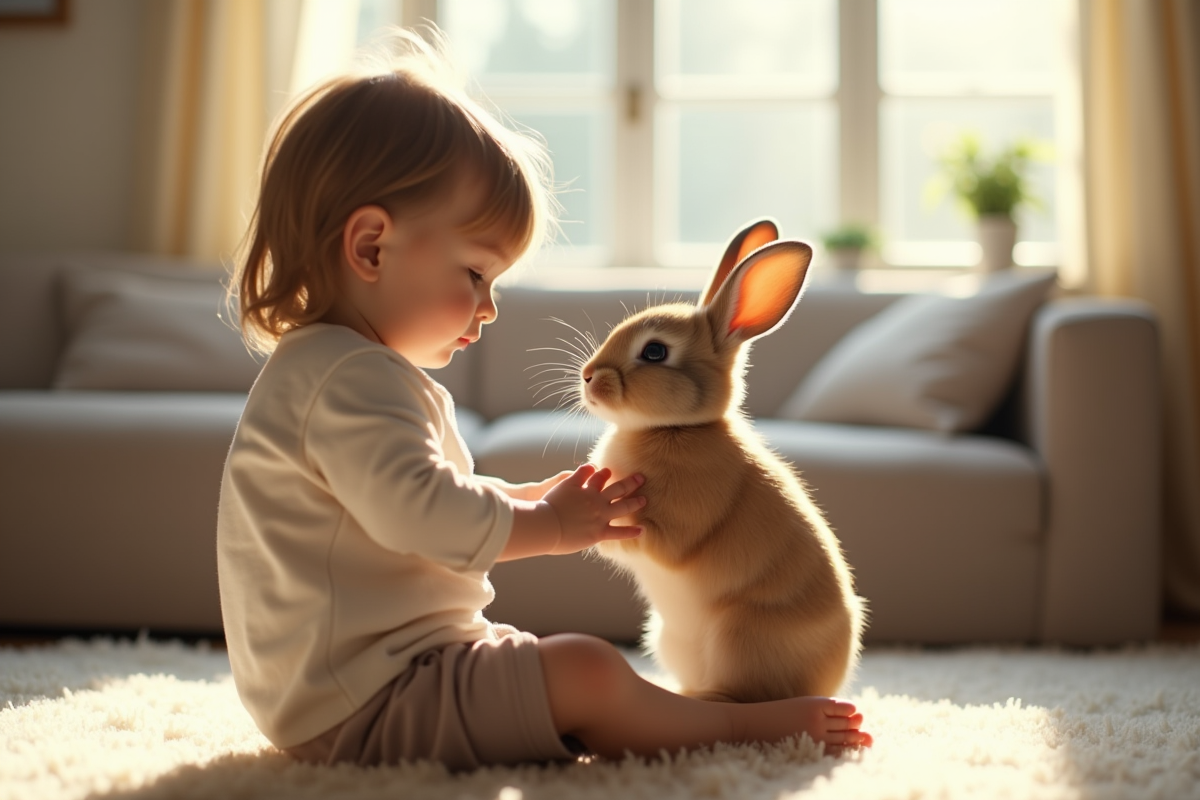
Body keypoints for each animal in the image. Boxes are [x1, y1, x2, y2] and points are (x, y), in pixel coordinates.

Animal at [580, 219, 867, 703]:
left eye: (654, 352)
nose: (587, 377)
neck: (677, 428)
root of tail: (828, 682)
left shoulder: (682, 521)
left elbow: (650, 539)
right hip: (668, 637)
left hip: (741, 635)